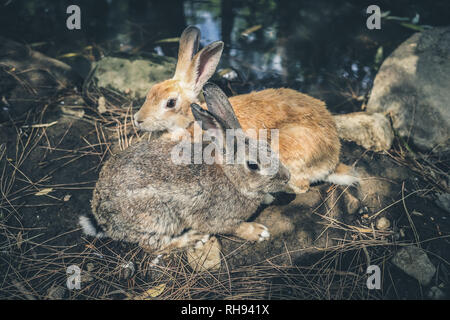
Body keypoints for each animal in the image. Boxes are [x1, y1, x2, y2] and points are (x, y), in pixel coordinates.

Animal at [79, 84, 290, 252]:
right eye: (253, 165)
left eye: (268, 146)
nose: (287, 177)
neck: (231, 177)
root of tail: (100, 216)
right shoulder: (216, 217)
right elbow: (233, 227)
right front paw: (258, 232)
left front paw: (268, 197)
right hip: (158, 217)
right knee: (154, 245)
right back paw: (192, 239)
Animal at [134, 26, 358, 194]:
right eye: (151, 90)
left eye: (170, 103)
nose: (138, 119)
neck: (189, 121)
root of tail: (332, 161)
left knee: (299, 187)